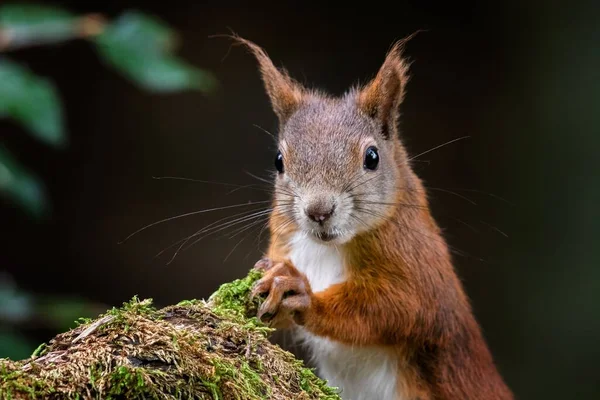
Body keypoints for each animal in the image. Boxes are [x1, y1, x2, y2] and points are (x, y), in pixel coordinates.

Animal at [233, 35, 510, 400]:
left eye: (372, 157)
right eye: (279, 160)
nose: (318, 211)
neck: (327, 249)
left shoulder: (419, 267)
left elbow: (396, 308)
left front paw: (302, 295)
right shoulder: (285, 238)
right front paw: (271, 279)